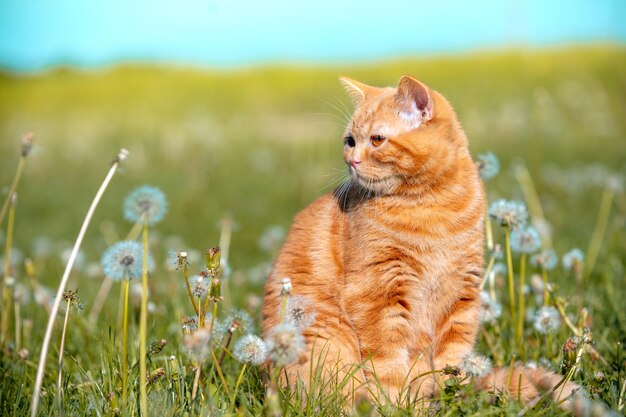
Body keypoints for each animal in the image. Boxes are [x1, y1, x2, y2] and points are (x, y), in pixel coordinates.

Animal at [260, 76, 576, 408]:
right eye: (350, 141)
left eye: (376, 140)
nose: (352, 161)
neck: (430, 205)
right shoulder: (377, 292)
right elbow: (388, 363)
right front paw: (397, 404)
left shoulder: (461, 292)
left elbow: (455, 357)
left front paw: (454, 394)